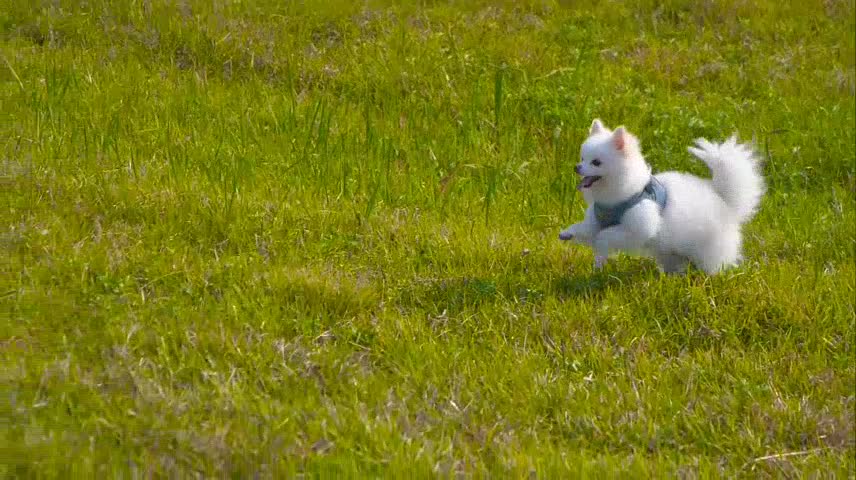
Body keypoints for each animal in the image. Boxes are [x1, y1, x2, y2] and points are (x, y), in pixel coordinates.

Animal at [560, 119, 764, 274]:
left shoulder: (638, 228)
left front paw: (600, 253)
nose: (577, 167)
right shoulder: (596, 220)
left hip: (709, 249)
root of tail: (724, 200)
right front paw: (568, 233)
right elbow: (585, 229)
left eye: (596, 162)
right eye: (582, 158)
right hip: (671, 253)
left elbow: (604, 236)